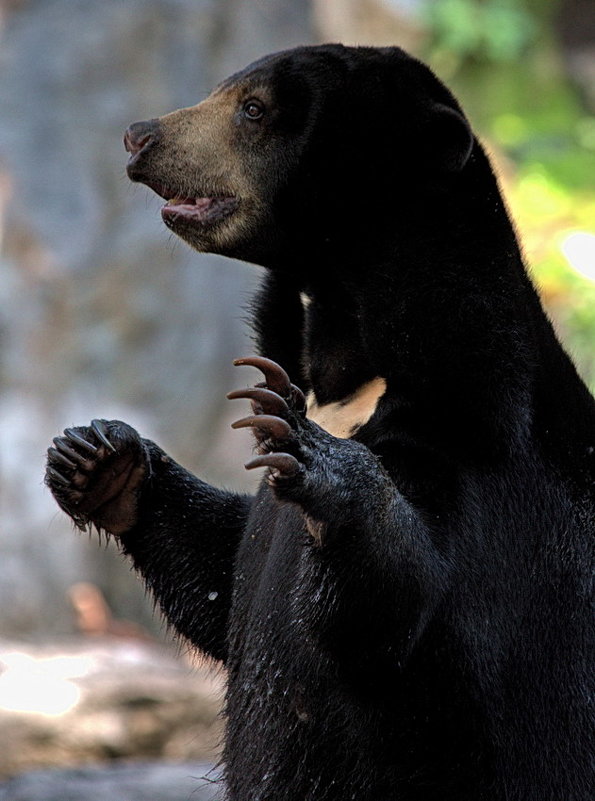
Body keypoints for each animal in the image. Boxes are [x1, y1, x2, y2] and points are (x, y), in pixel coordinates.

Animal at [47, 47, 595, 796]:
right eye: (226, 92)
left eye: (252, 109)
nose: (138, 136)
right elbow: (222, 564)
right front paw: (99, 455)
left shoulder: (474, 445)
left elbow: (391, 605)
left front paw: (317, 459)